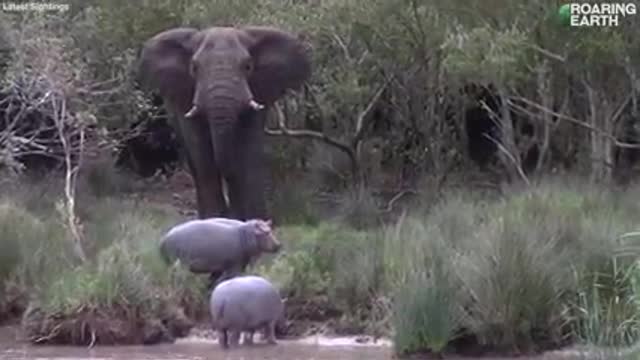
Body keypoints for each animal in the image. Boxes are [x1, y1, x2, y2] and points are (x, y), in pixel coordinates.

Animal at [138, 25, 312, 219]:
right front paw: (215, 219)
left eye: (248, 67)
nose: (229, 212)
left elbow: (247, 151)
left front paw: (248, 219)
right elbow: (202, 154)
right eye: (194, 68)